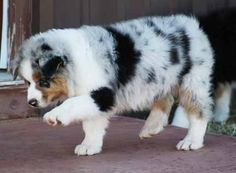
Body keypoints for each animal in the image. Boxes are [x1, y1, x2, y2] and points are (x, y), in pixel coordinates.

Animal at [12, 12, 225, 155]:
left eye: (44, 81)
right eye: (27, 82)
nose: (31, 102)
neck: (74, 61)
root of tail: (192, 25)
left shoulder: (102, 94)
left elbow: (73, 104)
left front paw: (54, 117)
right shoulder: (94, 97)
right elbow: (92, 124)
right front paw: (89, 146)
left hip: (193, 80)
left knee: (199, 112)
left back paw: (191, 141)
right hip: (161, 77)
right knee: (164, 99)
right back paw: (151, 127)